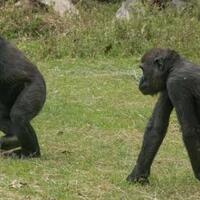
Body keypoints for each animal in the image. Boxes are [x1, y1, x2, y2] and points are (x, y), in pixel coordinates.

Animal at [127, 47, 200, 184]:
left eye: (143, 69)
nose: (141, 80)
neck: (174, 67)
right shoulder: (166, 86)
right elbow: (156, 127)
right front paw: (138, 175)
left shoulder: (176, 84)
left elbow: (190, 132)